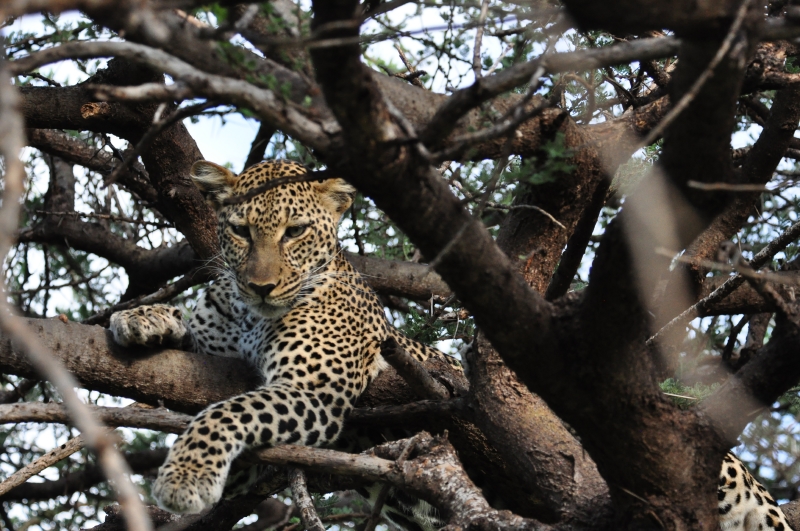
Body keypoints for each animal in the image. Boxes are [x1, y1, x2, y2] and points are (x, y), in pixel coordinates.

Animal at [110, 159, 793, 531]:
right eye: (239, 230)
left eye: (296, 231)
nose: (261, 283)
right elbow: (194, 322)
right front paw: (139, 319)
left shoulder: (316, 388)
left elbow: (226, 411)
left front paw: (187, 475)